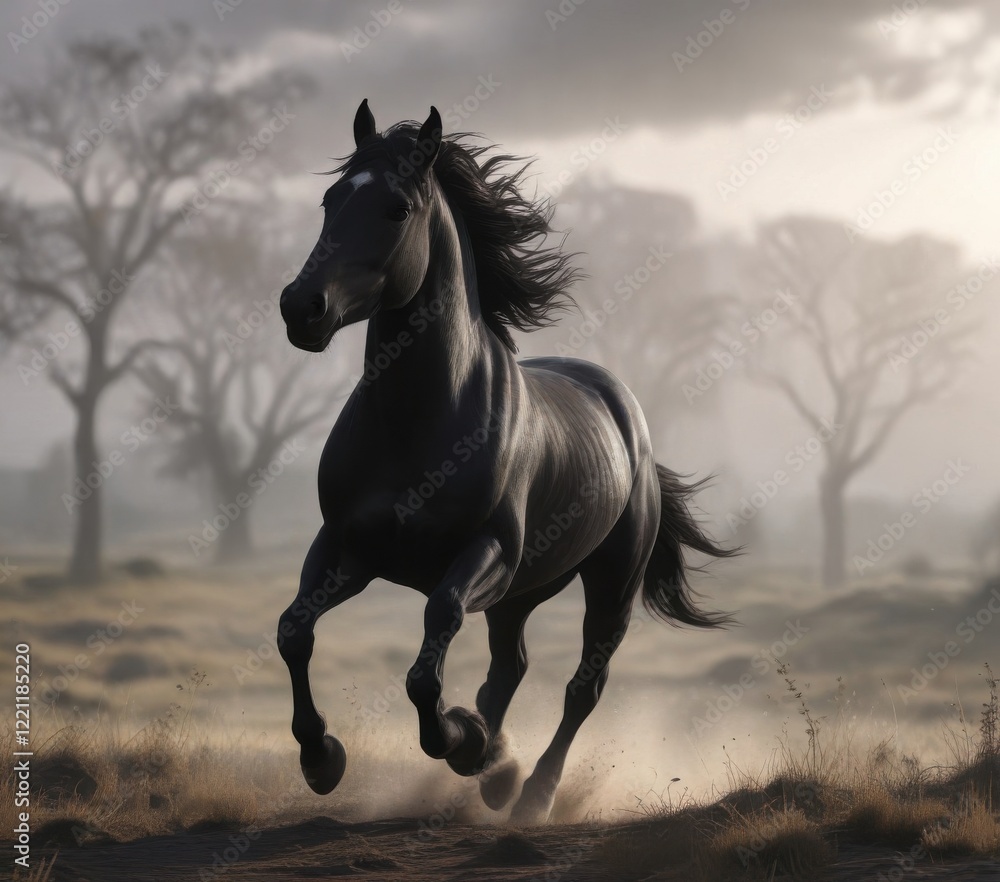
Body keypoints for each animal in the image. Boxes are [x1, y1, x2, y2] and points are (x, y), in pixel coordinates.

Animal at [276, 99, 735, 823]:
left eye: (397, 208)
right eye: (330, 200)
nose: (302, 308)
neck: (419, 423)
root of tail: (626, 413)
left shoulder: (484, 554)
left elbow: (429, 652)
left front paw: (459, 741)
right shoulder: (348, 548)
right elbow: (294, 631)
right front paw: (322, 760)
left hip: (607, 585)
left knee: (583, 686)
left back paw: (529, 790)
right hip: (521, 592)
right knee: (509, 667)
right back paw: (494, 769)